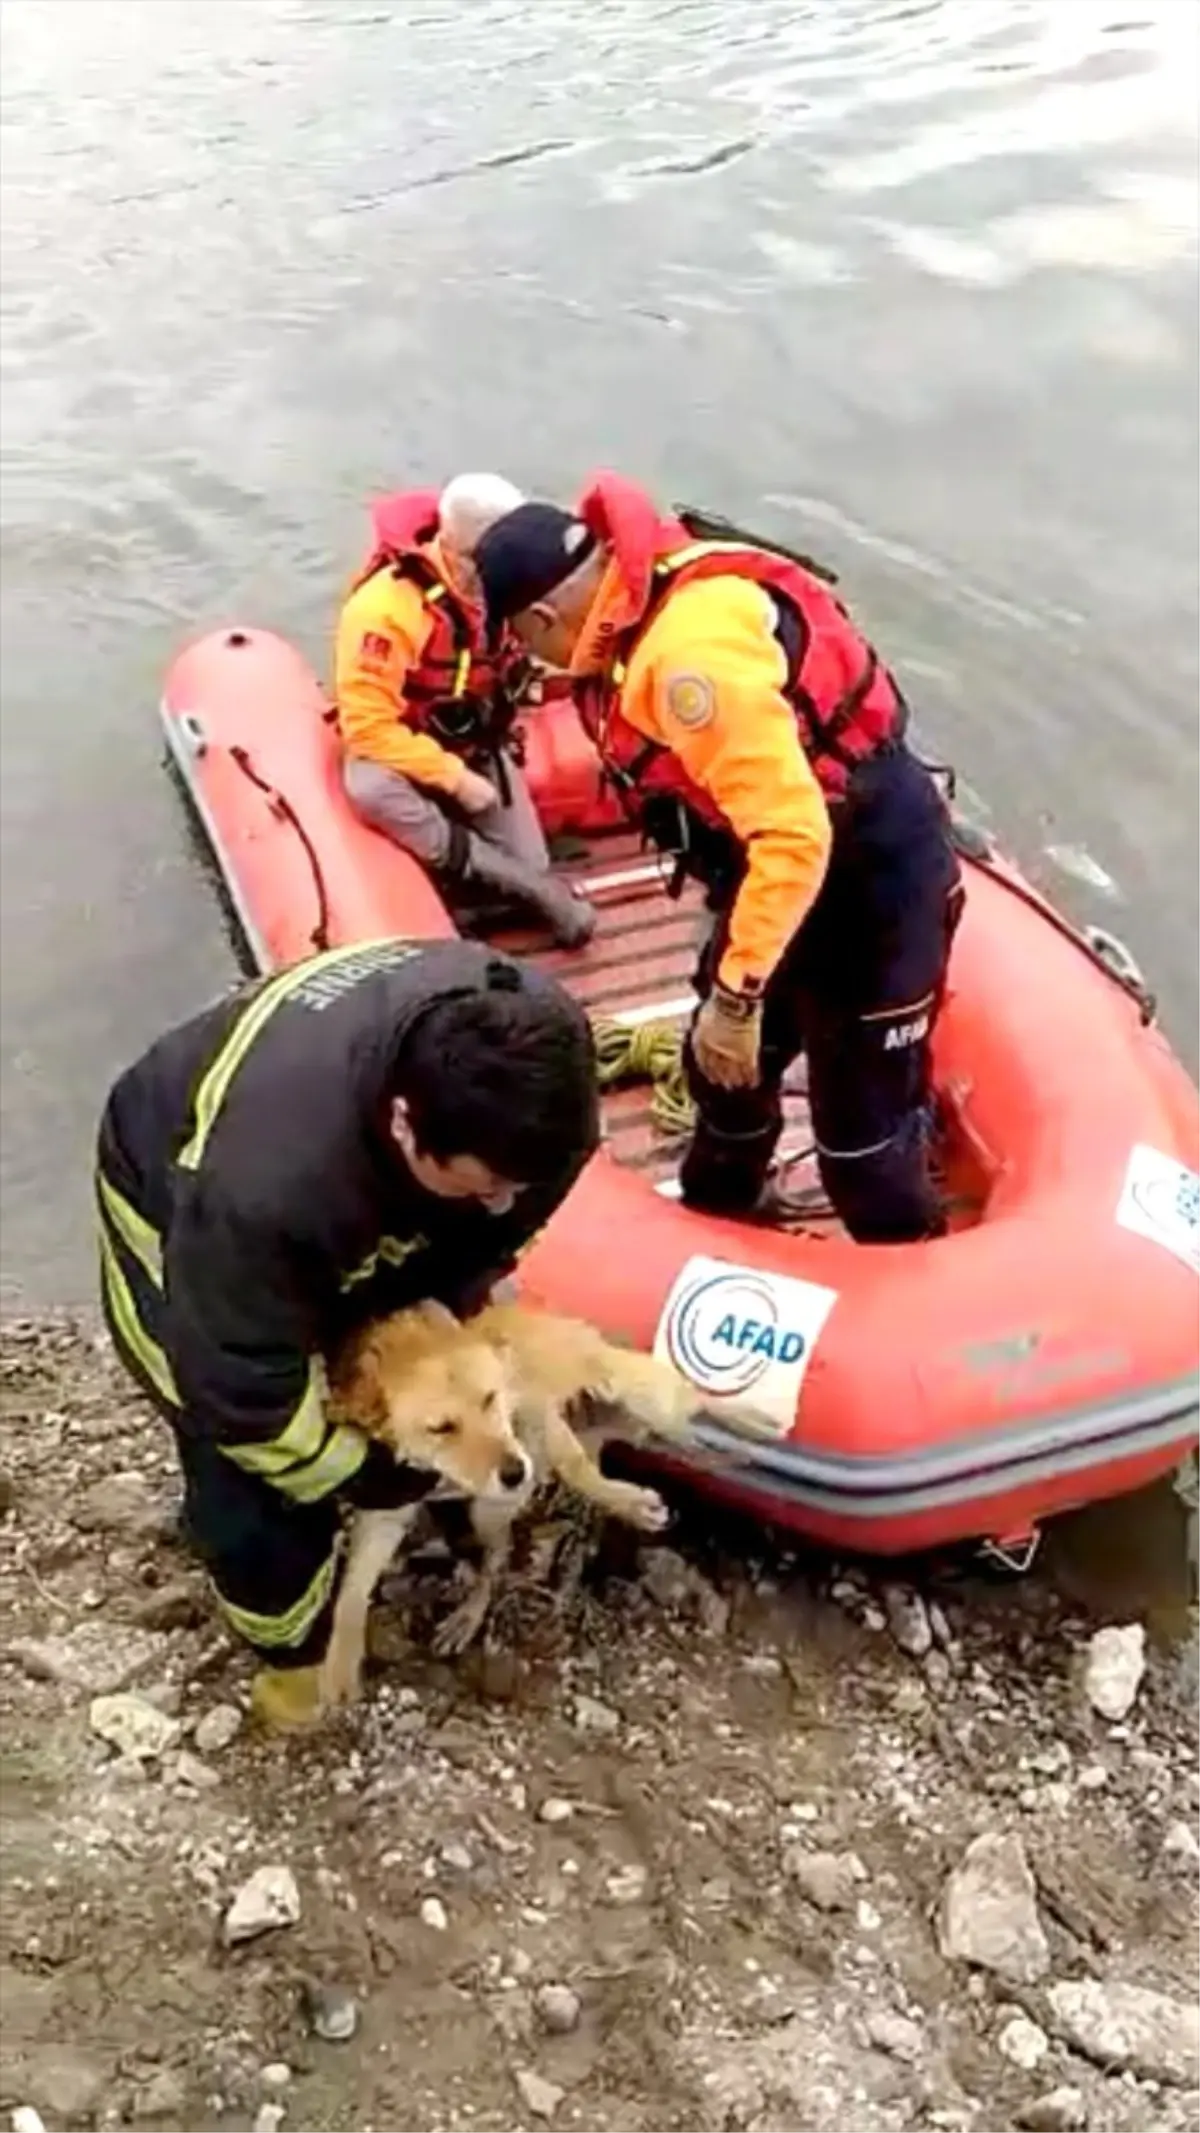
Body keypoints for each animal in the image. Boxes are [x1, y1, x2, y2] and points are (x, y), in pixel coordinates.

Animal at [315, 1288, 720, 1706]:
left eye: (489, 1399)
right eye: (441, 1428)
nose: (516, 1473)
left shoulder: (532, 1409)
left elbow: (574, 1466)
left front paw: (631, 1503)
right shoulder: (386, 1506)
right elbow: (354, 1591)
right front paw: (341, 1662)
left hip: (609, 1398)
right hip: (488, 1510)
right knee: (498, 1555)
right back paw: (469, 1614)